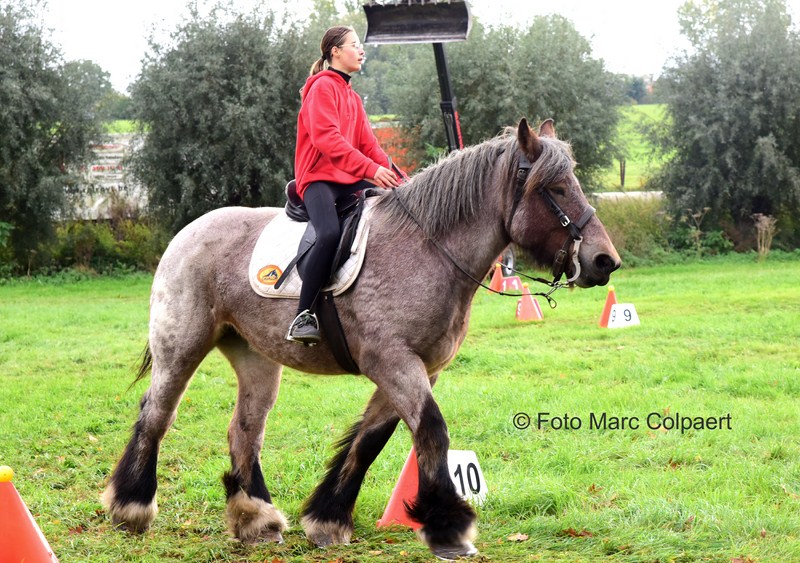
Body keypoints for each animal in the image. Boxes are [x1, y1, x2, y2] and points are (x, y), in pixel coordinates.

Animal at [102, 118, 620, 559]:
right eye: (554, 189)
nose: (604, 261)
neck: (428, 248)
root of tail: (187, 232)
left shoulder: (417, 368)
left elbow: (372, 440)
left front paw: (327, 518)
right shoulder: (392, 361)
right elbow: (431, 430)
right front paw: (448, 527)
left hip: (255, 358)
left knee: (244, 430)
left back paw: (256, 518)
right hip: (181, 347)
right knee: (157, 414)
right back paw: (132, 507)